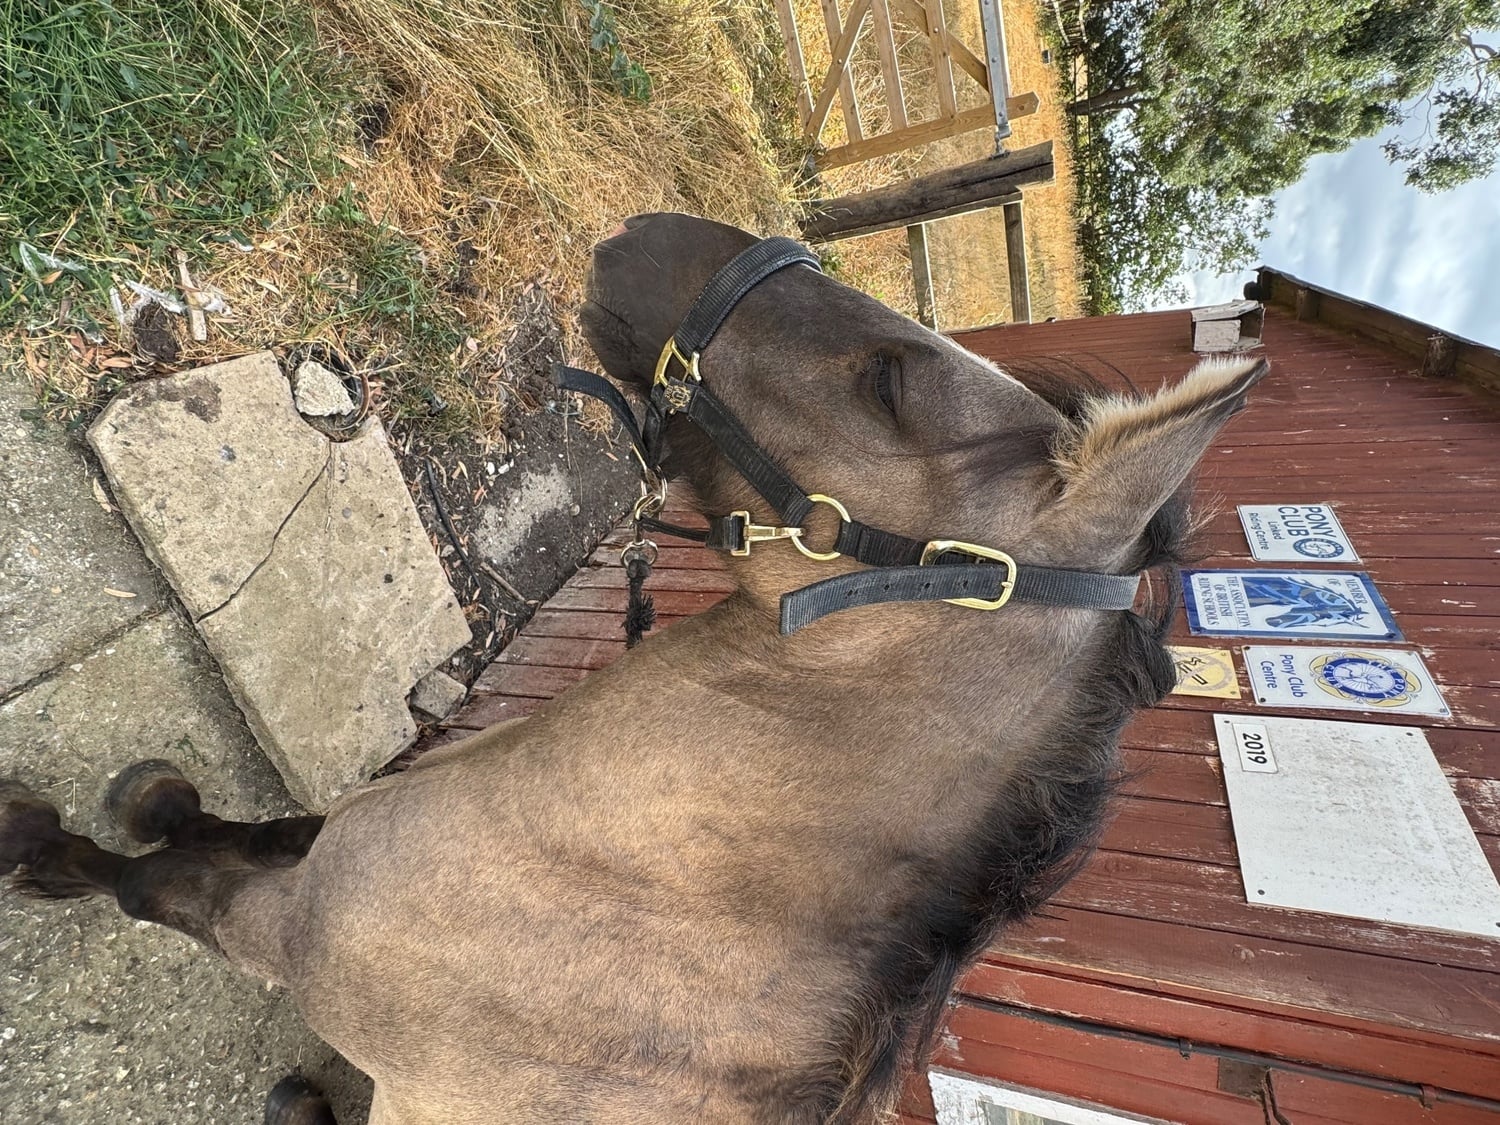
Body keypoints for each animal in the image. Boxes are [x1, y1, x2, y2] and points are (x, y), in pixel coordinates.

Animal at [1, 213, 1268, 1124]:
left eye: (891, 386)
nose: (650, 231)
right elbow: (251, 830)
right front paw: (164, 804)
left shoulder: (283, 929)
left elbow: (156, 886)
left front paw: (43, 849)